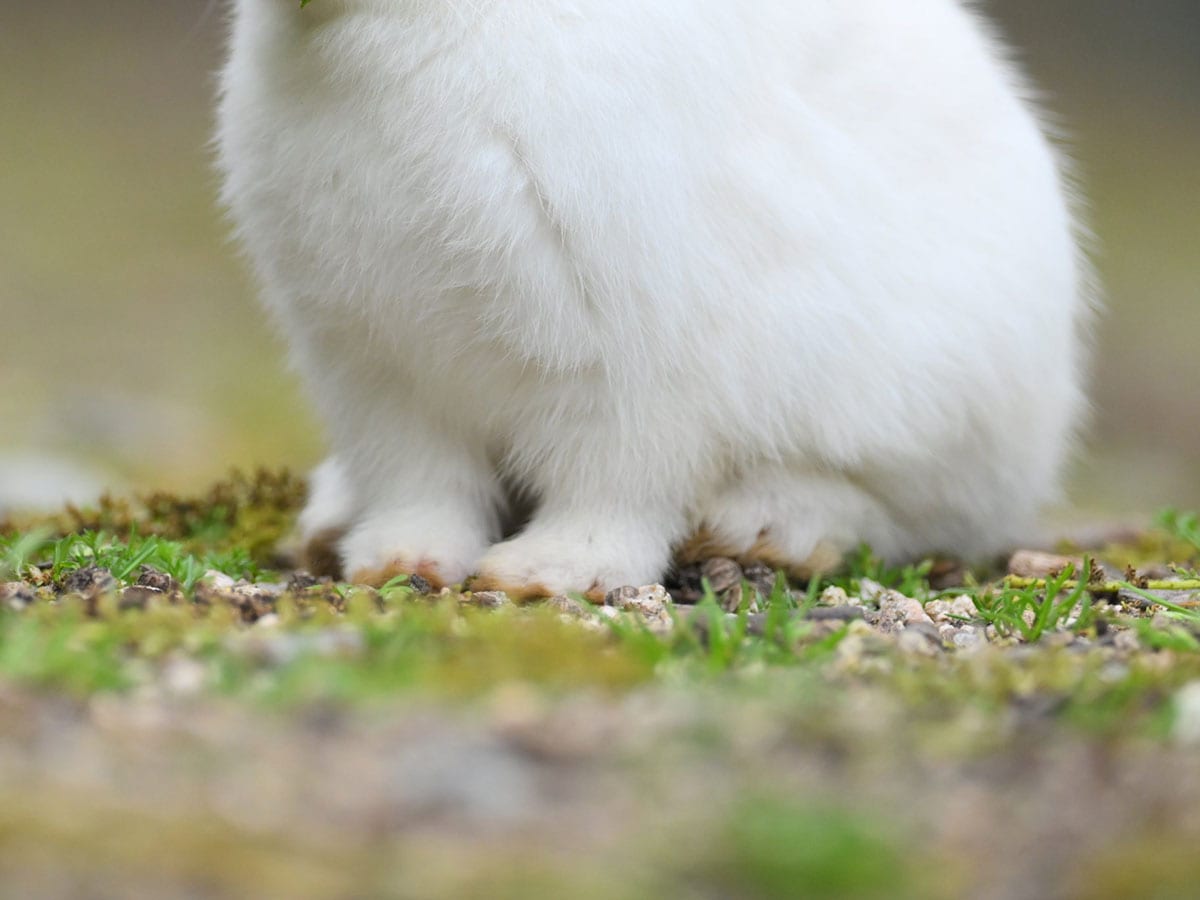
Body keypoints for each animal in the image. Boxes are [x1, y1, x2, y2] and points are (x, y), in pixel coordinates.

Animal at [213, 0, 1089, 600]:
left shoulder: (627, 366)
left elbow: (613, 487)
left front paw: (543, 574)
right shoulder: (380, 371)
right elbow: (422, 483)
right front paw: (400, 563)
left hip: (933, 407)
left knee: (895, 512)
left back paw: (761, 529)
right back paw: (327, 525)